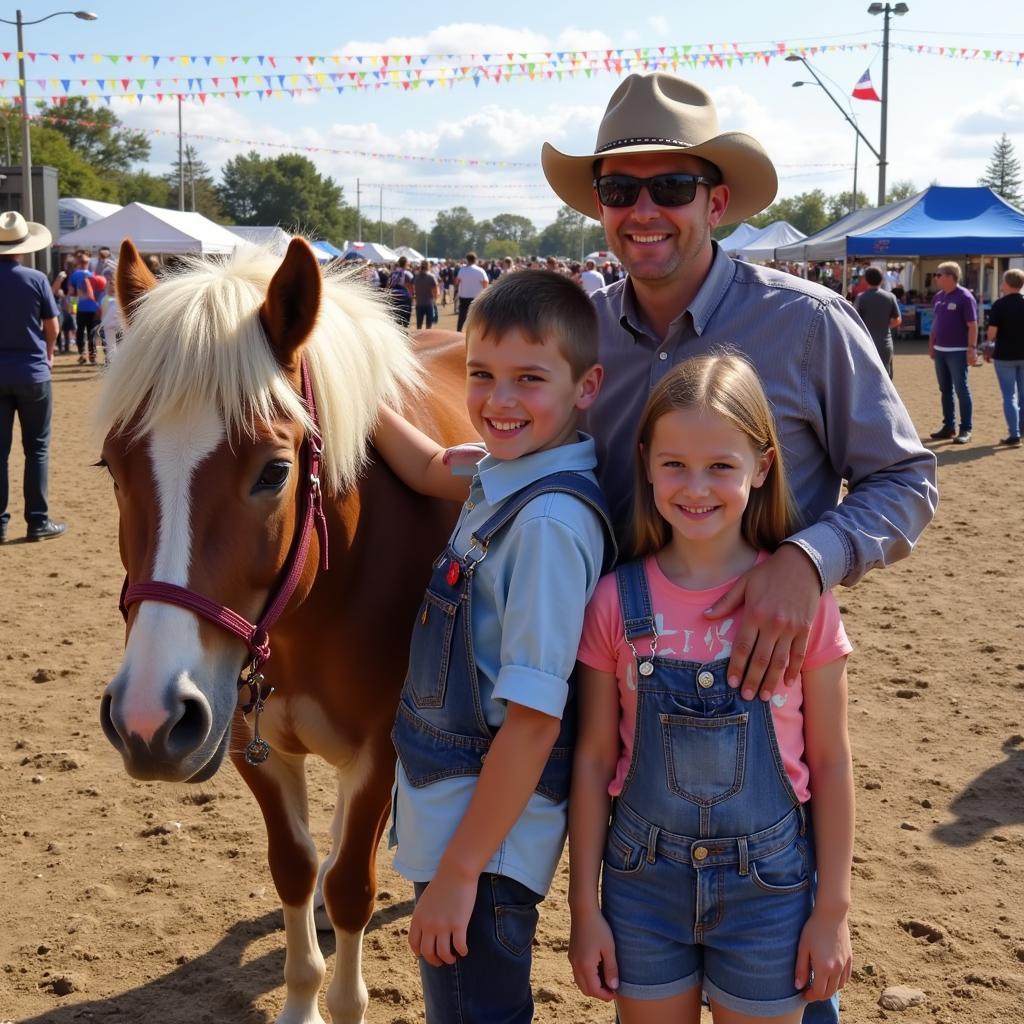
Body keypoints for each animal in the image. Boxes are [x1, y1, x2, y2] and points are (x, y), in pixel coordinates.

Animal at [96, 235, 471, 1019]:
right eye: (112, 467)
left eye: (273, 472)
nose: (147, 719)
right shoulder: (247, 740)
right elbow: (294, 867)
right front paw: (304, 999)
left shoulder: (381, 752)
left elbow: (356, 884)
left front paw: (345, 1000)